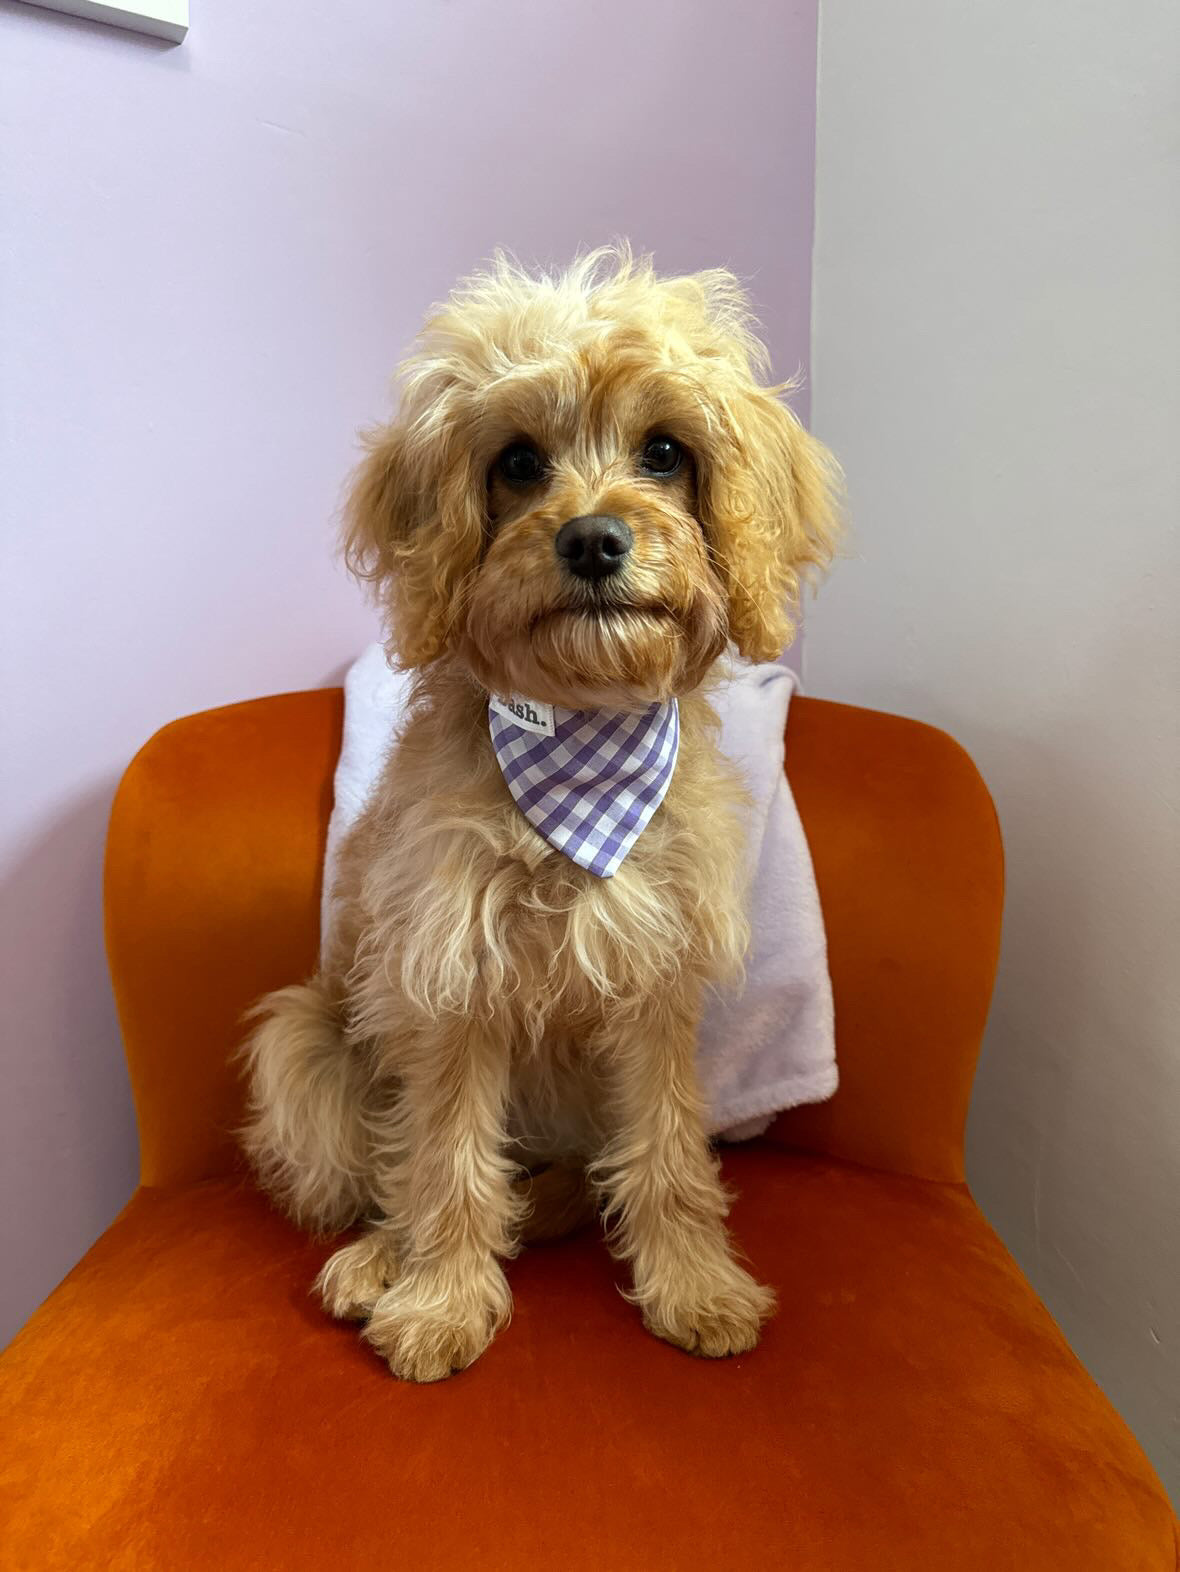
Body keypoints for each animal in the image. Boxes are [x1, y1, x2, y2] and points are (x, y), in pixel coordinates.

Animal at [241, 242, 842, 1377]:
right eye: (517, 463)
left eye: (664, 451)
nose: (595, 540)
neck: (580, 738)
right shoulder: (449, 981)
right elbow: (444, 1158)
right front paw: (439, 1302)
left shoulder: (655, 984)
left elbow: (666, 1151)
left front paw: (693, 1285)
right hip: (305, 1040)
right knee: (388, 1176)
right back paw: (378, 1260)